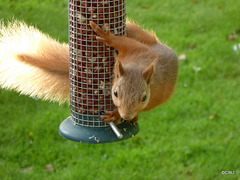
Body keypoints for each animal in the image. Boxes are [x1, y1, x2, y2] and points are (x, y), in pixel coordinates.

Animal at [0, 20, 178, 124]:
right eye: (115, 93)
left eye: (144, 98)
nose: (126, 115)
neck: (138, 65)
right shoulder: (137, 50)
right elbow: (121, 42)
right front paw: (108, 37)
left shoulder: (153, 96)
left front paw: (116, 115)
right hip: (144, 38)